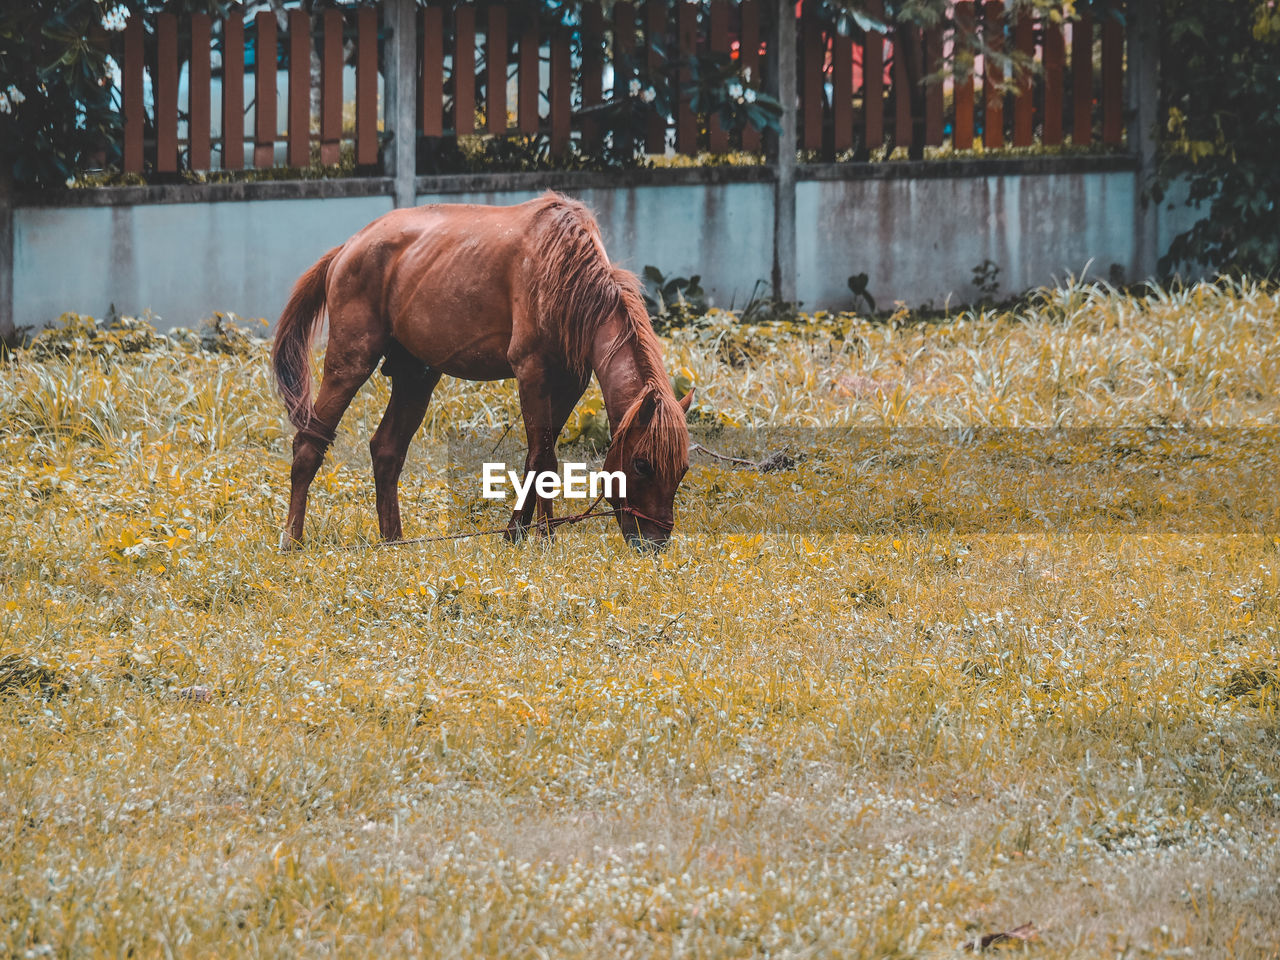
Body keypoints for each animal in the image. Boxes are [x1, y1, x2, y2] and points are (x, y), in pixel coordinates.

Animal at [268, 192, 691, 552]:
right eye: (642, 464)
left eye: (683, 469)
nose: (654, 543)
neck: (569, 277)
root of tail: (348, 248)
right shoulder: (531, 371)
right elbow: (542, 459)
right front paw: (537, 536)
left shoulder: (570, 383)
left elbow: (542, 458)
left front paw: (526, 533)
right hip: (351, 361)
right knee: (308, 444)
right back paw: (292, 540)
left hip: (416, 376)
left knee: (386, 449)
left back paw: (394, 542)